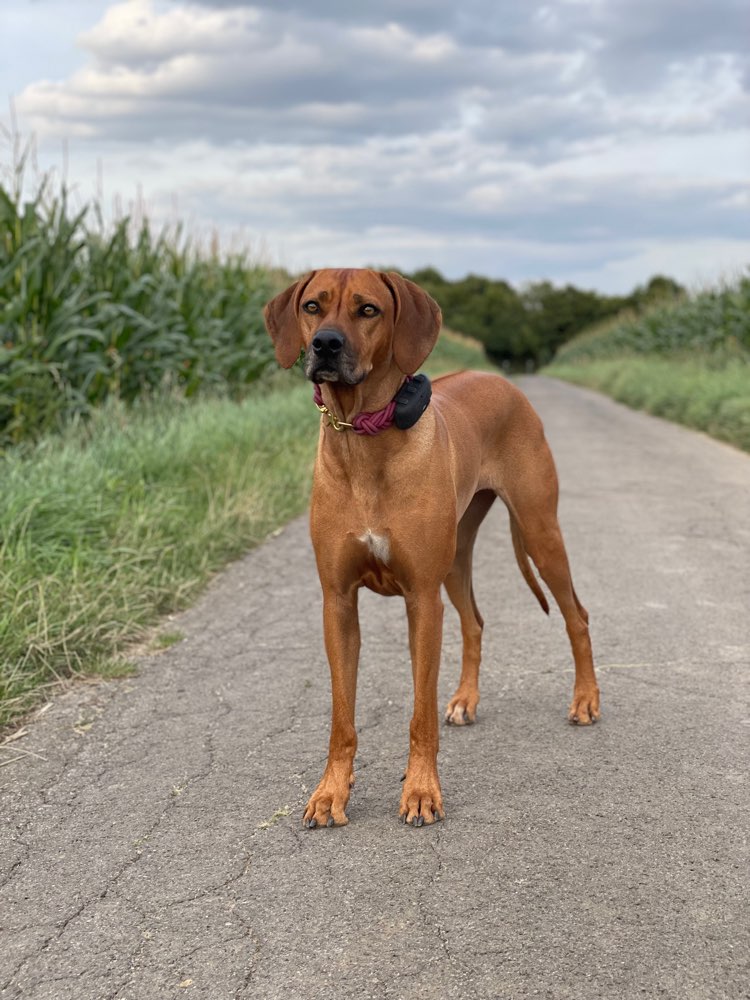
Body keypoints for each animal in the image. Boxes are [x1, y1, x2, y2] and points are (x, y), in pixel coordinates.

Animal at [262, 268, 600, 828]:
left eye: (368, 309)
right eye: (312, 306)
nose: (325, 345)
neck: (362, 435)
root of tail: (504, 381)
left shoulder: (422, 600)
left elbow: (419, 715)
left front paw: (421, 791)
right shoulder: (338, 602)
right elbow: (341, 718)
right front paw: (331, 792)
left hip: (539, 530)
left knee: (577, 614)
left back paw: (586, 700)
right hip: (457, 560)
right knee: (475, 621)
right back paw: (465, 699)